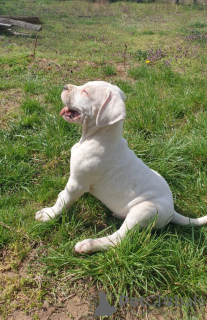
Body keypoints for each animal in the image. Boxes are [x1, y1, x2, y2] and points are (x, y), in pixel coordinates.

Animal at [34, 81, 206, 254]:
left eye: (86, 92)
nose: (64, 86)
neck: (99, 138)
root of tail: (172, 212)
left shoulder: (78, 183)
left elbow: (64, 201)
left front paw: (48, 214)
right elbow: (64, 195)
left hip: (144, 210)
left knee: (119, 239)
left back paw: (88, 245)